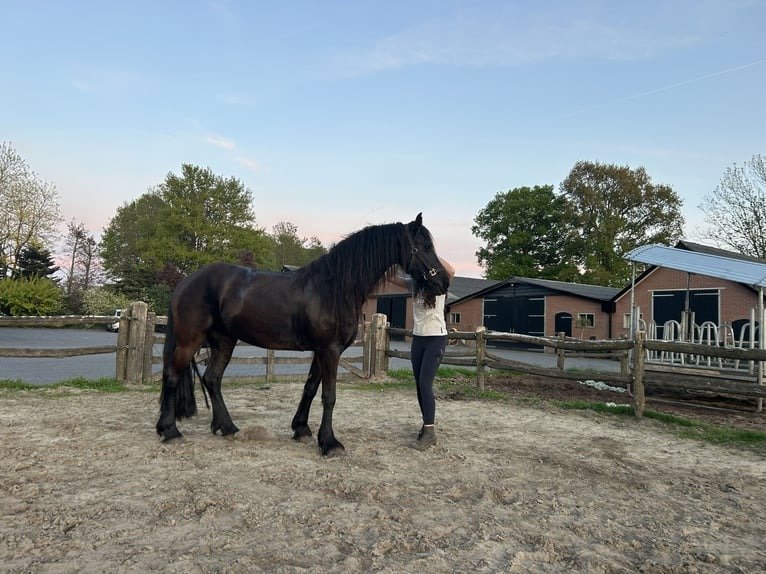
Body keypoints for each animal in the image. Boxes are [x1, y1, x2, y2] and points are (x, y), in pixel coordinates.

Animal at [155, 213, 449, 455]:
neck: (335, 288)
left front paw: (302, 430)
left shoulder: (323, 351)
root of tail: (186, 281)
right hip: (189, 341)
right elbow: (329, 396)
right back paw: (170, 431)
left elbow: (310, 388)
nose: (443, 281)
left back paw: (226, 427)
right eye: (424, 246)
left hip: (224, 342)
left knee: (212, 379)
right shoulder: (329, 350)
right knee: (172, 376)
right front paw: (330, 443)